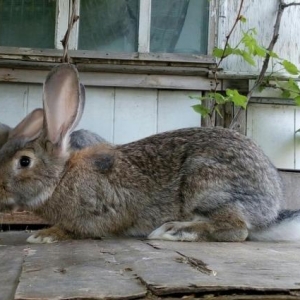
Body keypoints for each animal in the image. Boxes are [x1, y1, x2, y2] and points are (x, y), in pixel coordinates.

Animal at [0, 63, 298, 244]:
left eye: (24, 161)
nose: (0, 189)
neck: (61, 177)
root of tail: (269, 209)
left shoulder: (104, 210)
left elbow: (81, 229)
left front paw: (45, 235)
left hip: (208, 185)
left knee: (236, 230)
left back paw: (175, 230)